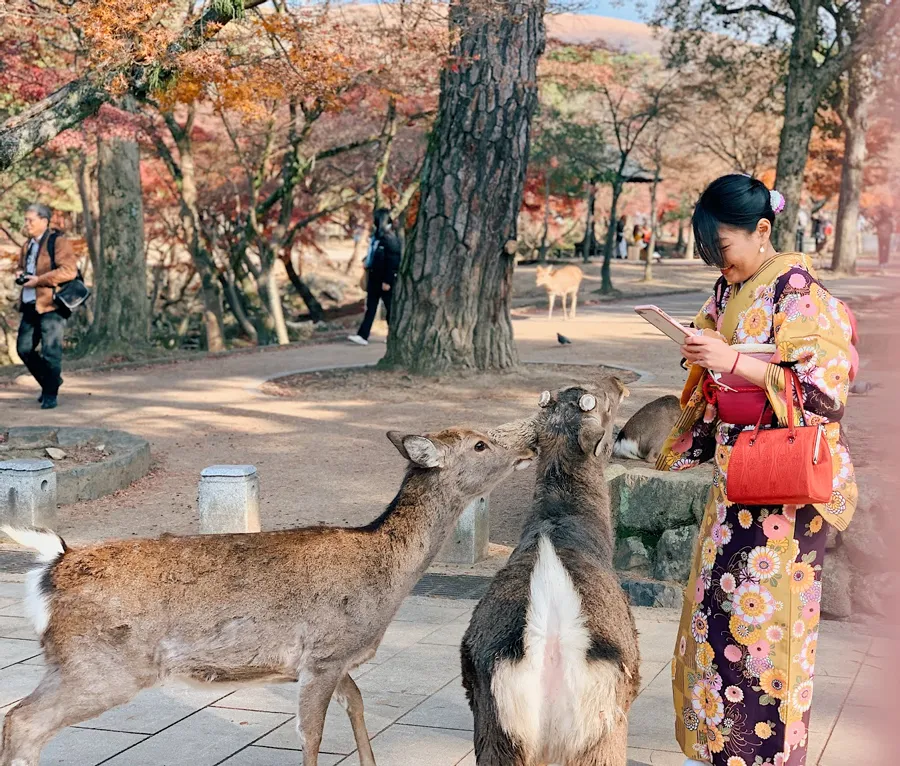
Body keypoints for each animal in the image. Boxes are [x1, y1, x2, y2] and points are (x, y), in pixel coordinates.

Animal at [0, 428, 536, 766]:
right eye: (481, 442)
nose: (528, 445)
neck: (386, 578)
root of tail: (53, 561)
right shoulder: (324, 654)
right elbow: (311, 733)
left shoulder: (331, 661)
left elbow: (357, 704)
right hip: (103, 665)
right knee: (23, 721)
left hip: (72, 663)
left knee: (14, 716)